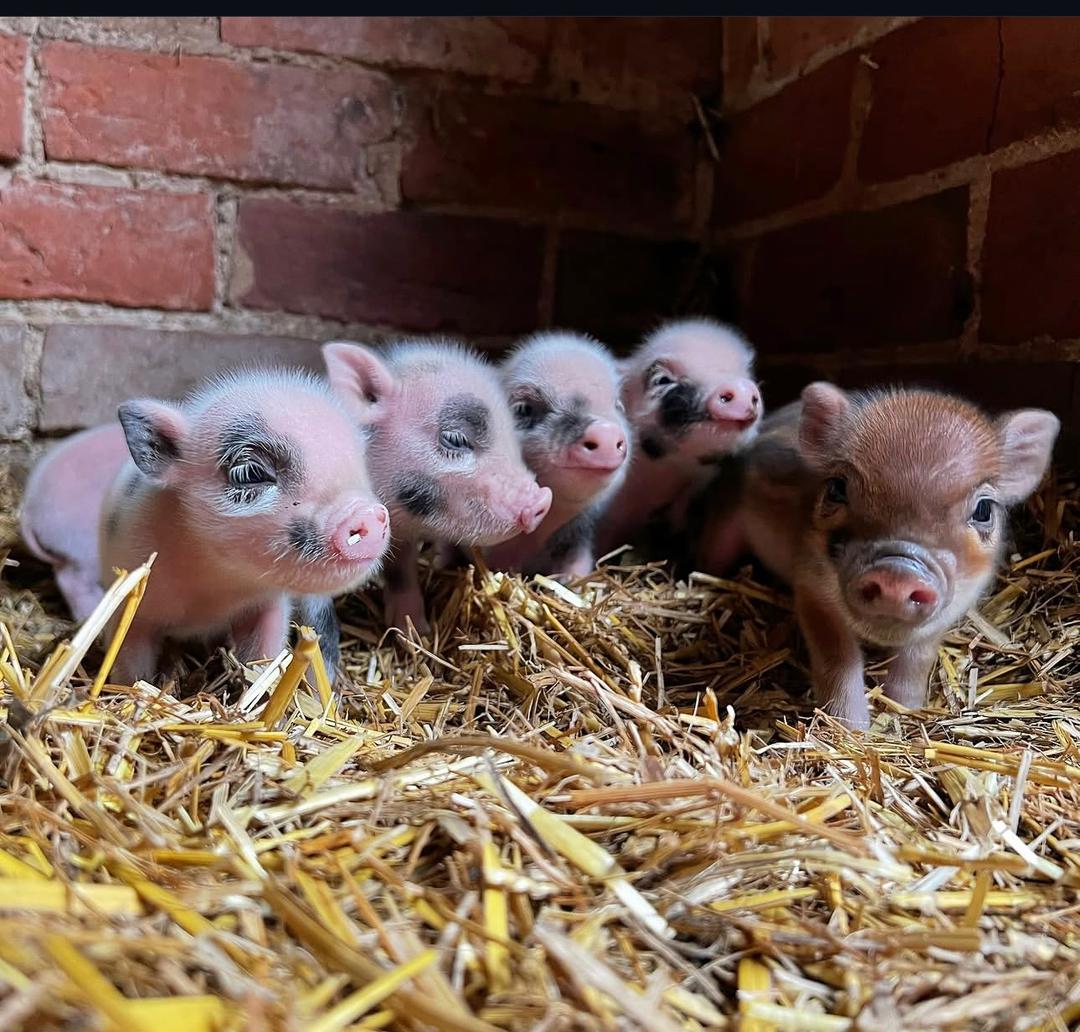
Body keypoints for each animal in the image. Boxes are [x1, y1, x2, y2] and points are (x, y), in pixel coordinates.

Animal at [22, 367, 390, 684]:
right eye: (250, 472)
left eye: (361, 463)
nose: (366, 512)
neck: (212, 590)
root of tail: (29, 504)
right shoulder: (132, 595)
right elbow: (130, 660)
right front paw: (132, 686)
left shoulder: (268, 603)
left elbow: (263, 655)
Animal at [717, 382, 1059, 729]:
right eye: (836, 488)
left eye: (984, 509)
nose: (898, 571)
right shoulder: (810, 586)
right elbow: (838, 656)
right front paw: (852, 728)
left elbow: (916, 658)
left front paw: (904, 711)